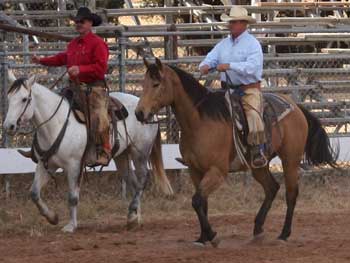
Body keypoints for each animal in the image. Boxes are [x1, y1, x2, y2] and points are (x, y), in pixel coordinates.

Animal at [2, 70, 172, 233]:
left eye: (24, 99)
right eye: (9, 98)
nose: (8, 126)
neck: (56, 124)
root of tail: (148, 111)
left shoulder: (74, 165)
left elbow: (72, 197)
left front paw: (71, 226)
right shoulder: (46, 164)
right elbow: (34, 193)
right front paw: (53, 218)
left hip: (140, 153)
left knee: (142, 180)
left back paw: (133, 214)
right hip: (122, 156)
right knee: (134, 182)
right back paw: (134, 217)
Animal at [135, 58, 338, 249]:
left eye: (156, 84)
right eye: (143, 83)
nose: (139, 113)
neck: (199, 121)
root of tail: (295, 106)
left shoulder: (217, 171)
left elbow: (197, 200)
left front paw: (213, 236)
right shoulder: (195, 170)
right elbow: (202, 203)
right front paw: (201, 238)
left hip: (291, 160)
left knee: (291, 194)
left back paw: (283, 234)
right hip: (259, 165)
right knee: (271, 188)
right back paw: (258, 230)